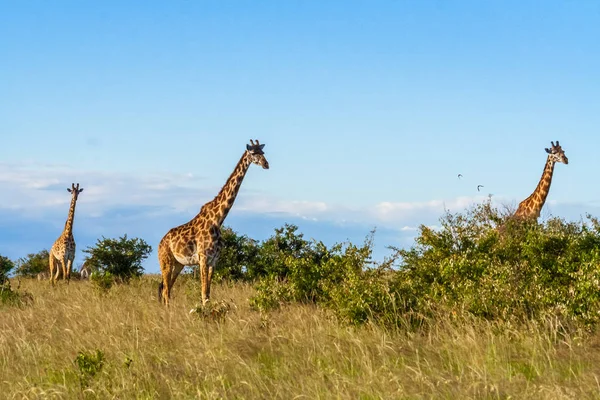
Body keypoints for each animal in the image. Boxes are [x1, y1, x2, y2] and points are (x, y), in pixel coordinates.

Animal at [159, 139, 272, 304]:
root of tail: (160, 243)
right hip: (165, 261)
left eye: (262, 152)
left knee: (167, 289)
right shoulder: (203, 258)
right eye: (253, 153)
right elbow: (203, 293)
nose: (266, 164)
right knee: (166, 290)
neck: (217, 219)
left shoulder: (214, 260)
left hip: (178, 264)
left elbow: (208, 293)